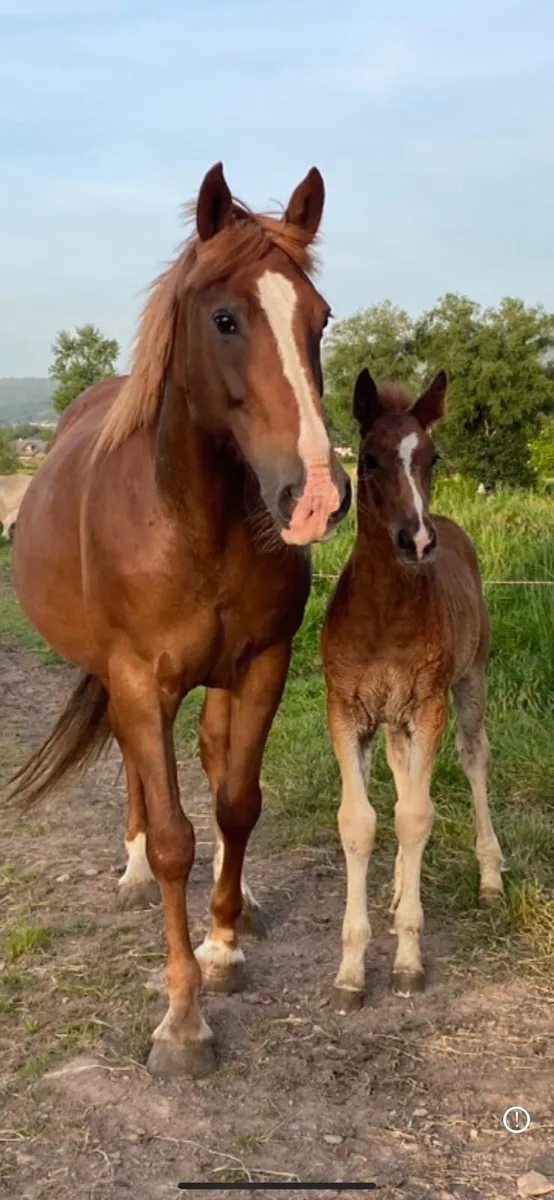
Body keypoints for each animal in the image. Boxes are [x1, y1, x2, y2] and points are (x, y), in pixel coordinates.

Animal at [9, 163, 351, 1078]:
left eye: (320, 319)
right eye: (225, 319)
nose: (315, 497)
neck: (195, 522)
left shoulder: (261, 664)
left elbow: (236, 802)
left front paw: (224, 945)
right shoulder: (138, 679)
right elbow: (174, 838)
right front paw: (183, 1021)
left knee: (213, 766)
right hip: (122, 680)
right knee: (137, 769)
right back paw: (130, 870)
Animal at [321, 368, 504, 1010]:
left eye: (432, 457)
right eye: (370, 459)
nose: (418, 541)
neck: (382, 617)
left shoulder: (427, 708)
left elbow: (417, 815)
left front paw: (407, 961)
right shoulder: (347, 713)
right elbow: (362, 822)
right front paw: (351, 972)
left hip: (469, 682)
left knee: (474, 759)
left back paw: (491, 878)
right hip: (395, 722)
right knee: (402, 779)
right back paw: (402, 890)